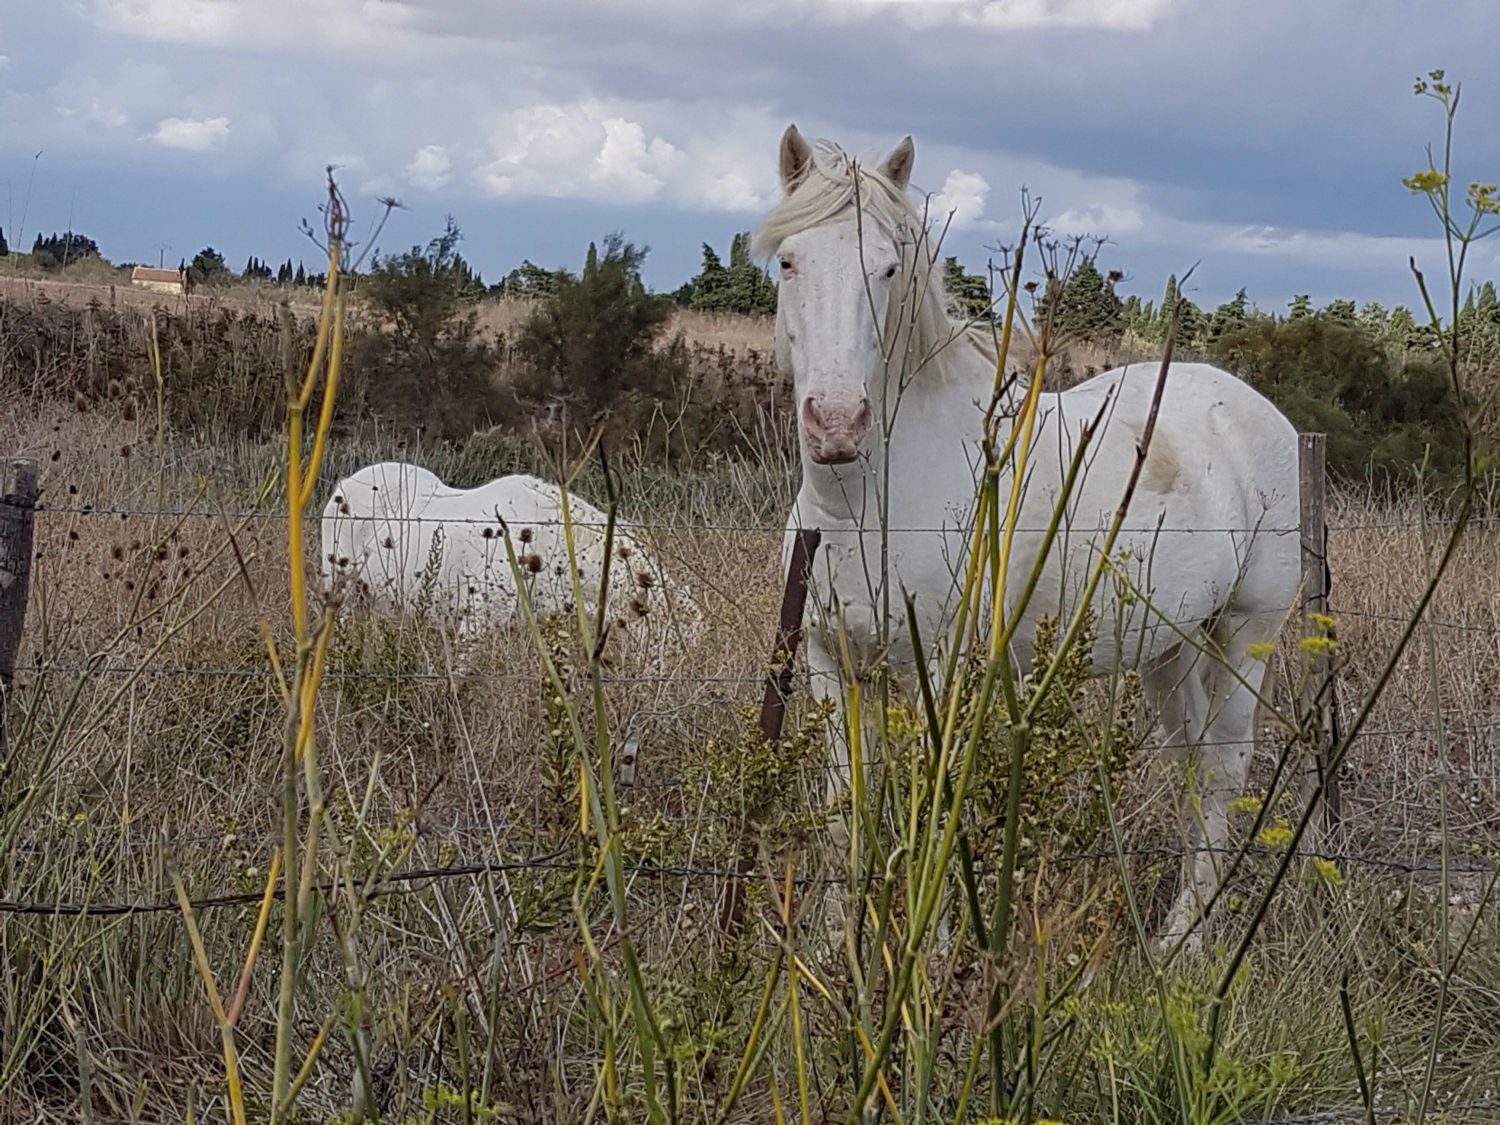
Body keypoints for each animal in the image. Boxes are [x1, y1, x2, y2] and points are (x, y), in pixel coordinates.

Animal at [759, 126, 1301, 945]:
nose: (837, 423)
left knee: (1225, 770)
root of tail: (1258, 410)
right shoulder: (832, 660)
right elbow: (845, 810)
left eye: (888, 268)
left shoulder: (944, 668)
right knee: (1192, 760)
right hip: (1169, 647)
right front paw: (830, 944)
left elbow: (934, 809)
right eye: (790, 260)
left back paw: (1183, 940)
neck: (867, 507)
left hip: (1246, 632)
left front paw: (930, 947)